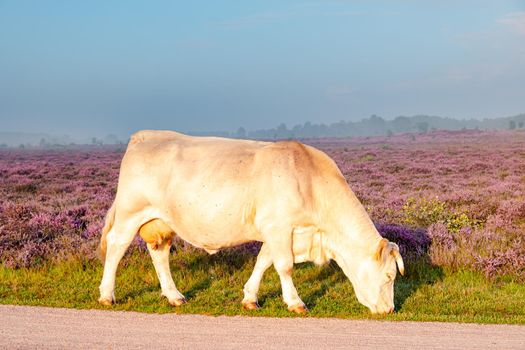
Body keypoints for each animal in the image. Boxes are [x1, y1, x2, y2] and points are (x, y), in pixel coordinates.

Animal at [98, 131, 404, 314]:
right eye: (390, 276)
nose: (390, 310)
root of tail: (146, 137)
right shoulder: (279, 227)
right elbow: (285, 266)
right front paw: (295, 302)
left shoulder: (276, 231)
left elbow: (263, 261)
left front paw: (249, 298)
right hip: (130, 214)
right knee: (115, 249)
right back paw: (107, 295)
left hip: (161, 222)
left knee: (159, 254)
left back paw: (174, 295)